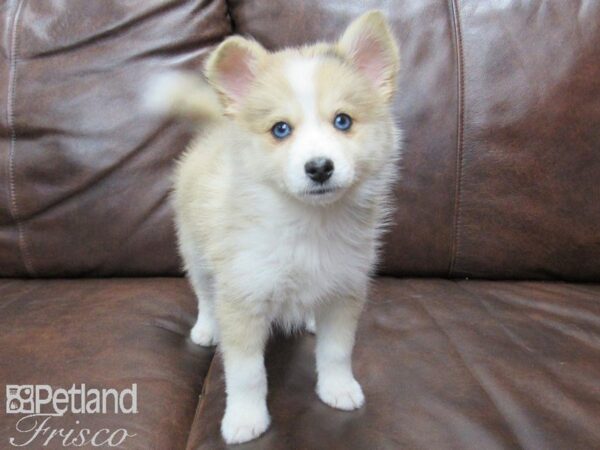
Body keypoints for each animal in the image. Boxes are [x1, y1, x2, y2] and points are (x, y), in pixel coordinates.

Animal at [147, 8, 400, 444]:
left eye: (343, 121)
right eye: (281, 129)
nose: (319, 167)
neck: (309, 223)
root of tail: (218, 127)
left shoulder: (345, 290)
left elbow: (337, 351)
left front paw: (338, 388)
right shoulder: (243, 298)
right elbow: (247, 373)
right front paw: (245, 419)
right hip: (196, 255)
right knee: (204, 295)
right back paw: (205, 328)